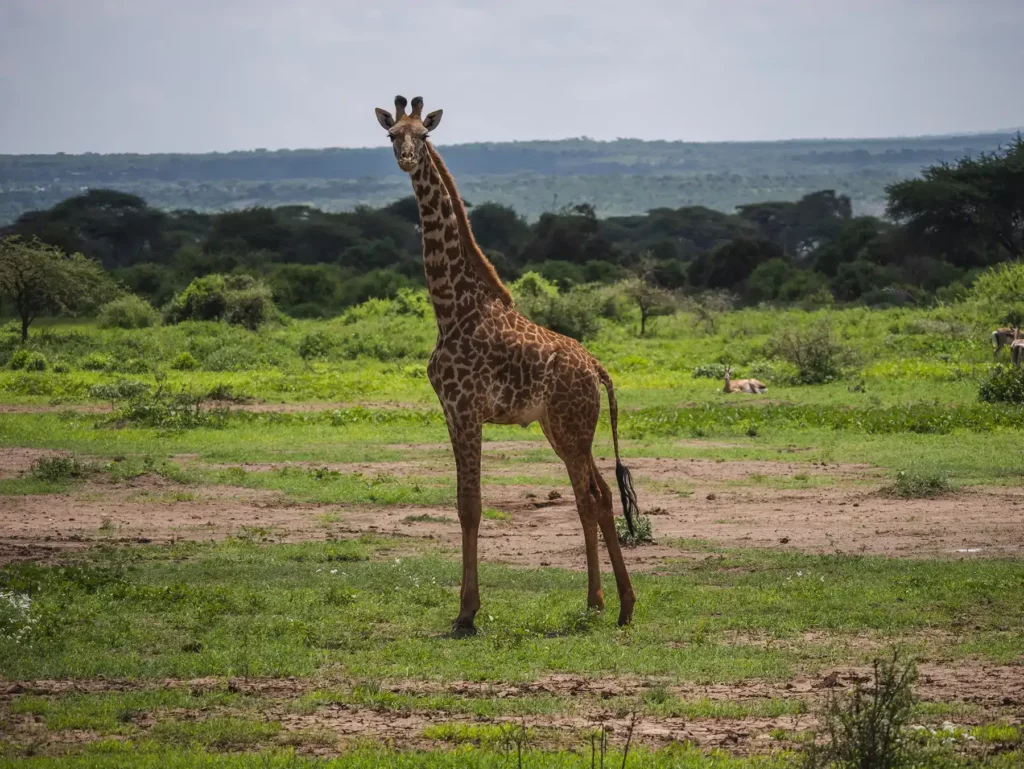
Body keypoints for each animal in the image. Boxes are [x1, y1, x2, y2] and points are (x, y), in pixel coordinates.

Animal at [374, 95, 638, 636]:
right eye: (393, 135)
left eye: (423, 136)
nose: (407, 158)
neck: (450, 307)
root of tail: (598, 369)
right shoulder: (451, 412)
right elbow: (463, 504)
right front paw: (466, 609)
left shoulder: (466, 409)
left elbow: (471, 507)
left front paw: (466, 613)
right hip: (560, 429)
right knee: (598, 496)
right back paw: (605, 603)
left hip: (571, 426)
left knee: (591, 497)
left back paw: (615, 604)